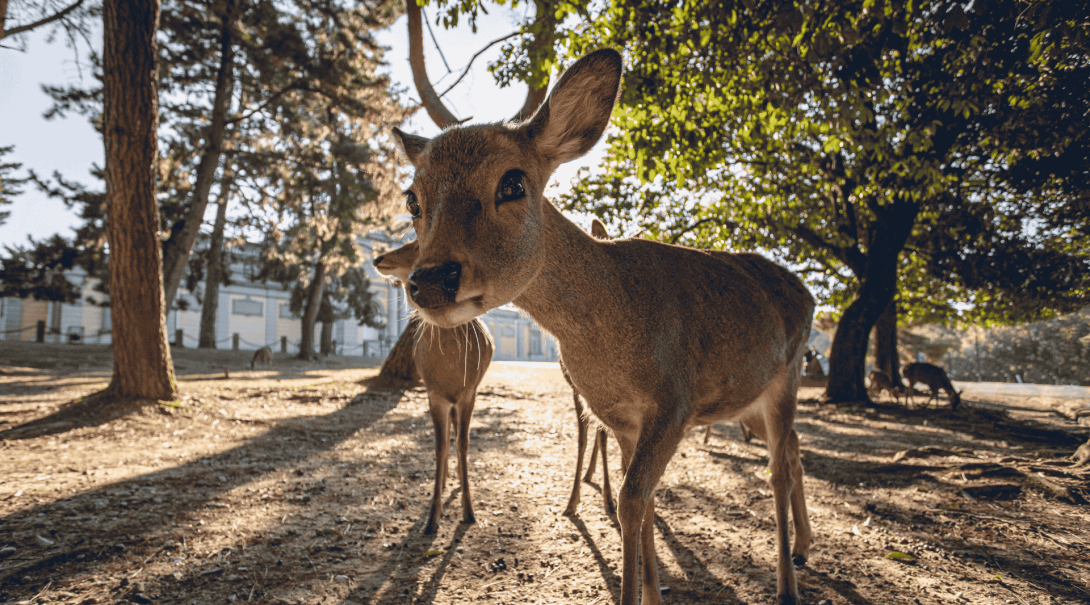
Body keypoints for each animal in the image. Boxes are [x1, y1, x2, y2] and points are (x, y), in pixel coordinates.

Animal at [373, 241, 494, 534]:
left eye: (416, 244)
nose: (378, 258)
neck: (449, 370)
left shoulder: (468, 393)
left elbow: (463, 443)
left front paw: (469, 512)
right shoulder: (434, 393)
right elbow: (439, 446)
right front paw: (431, 518)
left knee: (457, 436)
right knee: (448, 435)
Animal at [387, 48, 814, 605]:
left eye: (513, 182)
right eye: (412, 199)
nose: (431, 280)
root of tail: (808, 292)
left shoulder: (673, 403)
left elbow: (632, 503)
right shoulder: (621, 417)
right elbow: (645, 502)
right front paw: (653, 592)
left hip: (788, 375)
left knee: (778, 470)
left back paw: (788, 585)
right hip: (752, 398)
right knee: (796, 452)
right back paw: (803, 549)